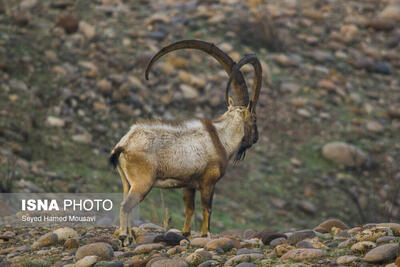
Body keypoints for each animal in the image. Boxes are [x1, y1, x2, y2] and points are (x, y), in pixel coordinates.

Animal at [110, 39, 262, 245]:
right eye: (254, 118)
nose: (256, 138)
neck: (221, 138)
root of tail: (123, 144)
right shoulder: (208, 182)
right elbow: (207, 208)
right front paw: (206, 235)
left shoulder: (188, 185)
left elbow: (189, 209)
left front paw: (186, 234)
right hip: (142, 181)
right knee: (126, 205)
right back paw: (125, 237)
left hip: (126, 181)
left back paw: (124, 234)